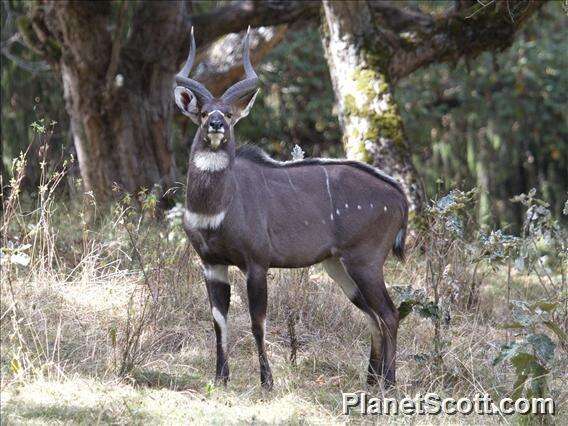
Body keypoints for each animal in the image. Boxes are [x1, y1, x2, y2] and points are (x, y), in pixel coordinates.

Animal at [174, 29, 408, 390]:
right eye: (202, 113)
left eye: (229, 114)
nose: (215, 124)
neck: (216, 209)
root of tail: (399, 196)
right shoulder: (212, 263)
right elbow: (218, 321)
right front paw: (220, 378)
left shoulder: (256, 262)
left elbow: (257, 321)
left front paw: (267, 382)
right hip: (337, 265)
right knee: (373, 315)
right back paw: (370, 379)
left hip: (365, 261)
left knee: (389, 313)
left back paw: (389, 383)